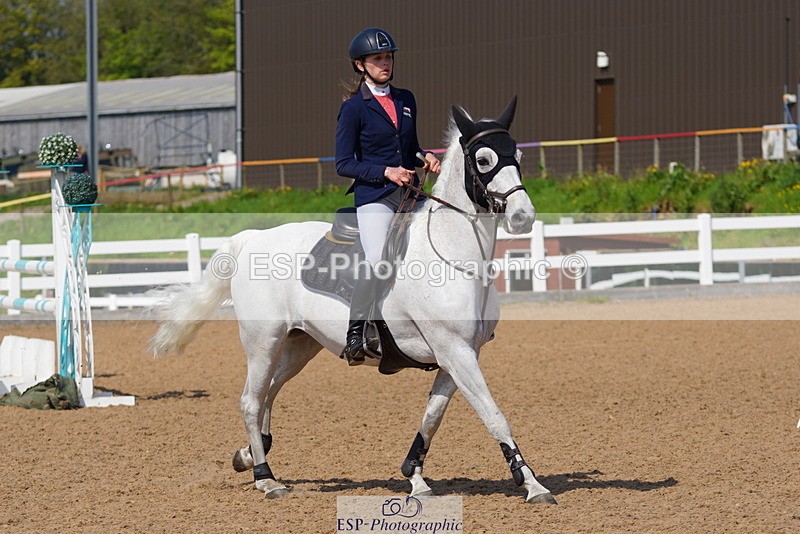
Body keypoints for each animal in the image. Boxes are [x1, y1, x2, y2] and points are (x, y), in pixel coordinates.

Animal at [150, 97, 557, 504]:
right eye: (484, 160)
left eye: (519, 154)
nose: (523, 217)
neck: (453, 255)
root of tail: (252, 237)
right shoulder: (455, 350)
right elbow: (494, 416)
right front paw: (533, 484)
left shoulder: (459, 355)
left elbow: (432, 417)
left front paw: (416, 479)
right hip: (262, 340)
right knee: (251, 400)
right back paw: (266, 478)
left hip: (300, 344)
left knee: (269, 391)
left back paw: (250, 453)